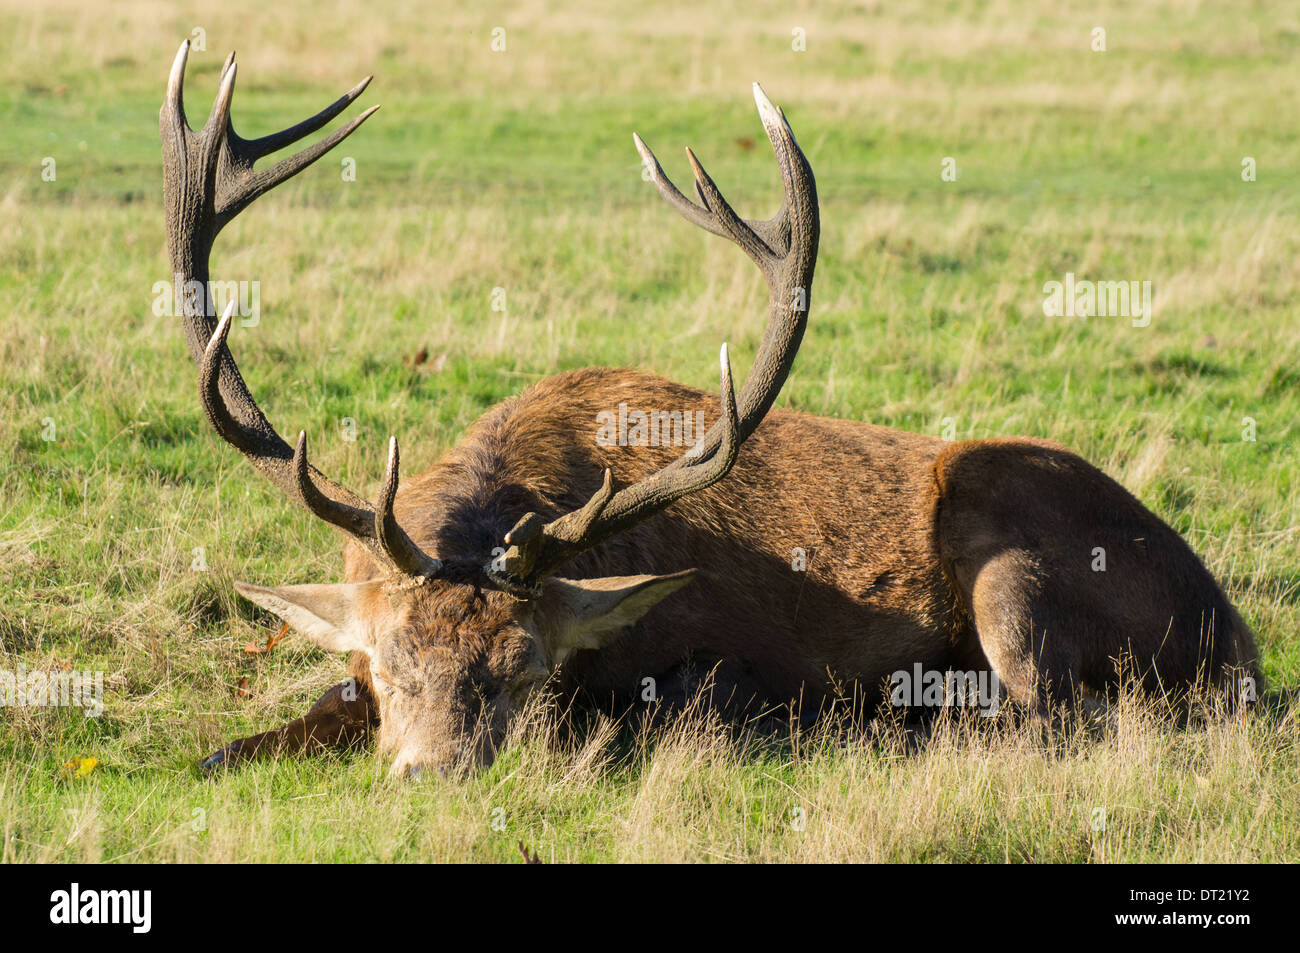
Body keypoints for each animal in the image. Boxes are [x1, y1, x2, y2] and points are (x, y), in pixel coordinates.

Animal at [161, 40, 1262, 779]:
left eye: (525, 667)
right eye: (388, 663)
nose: (435, 770)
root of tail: (1242, 646)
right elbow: (254, 734)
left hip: (1011, 538)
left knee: (1045, 714)